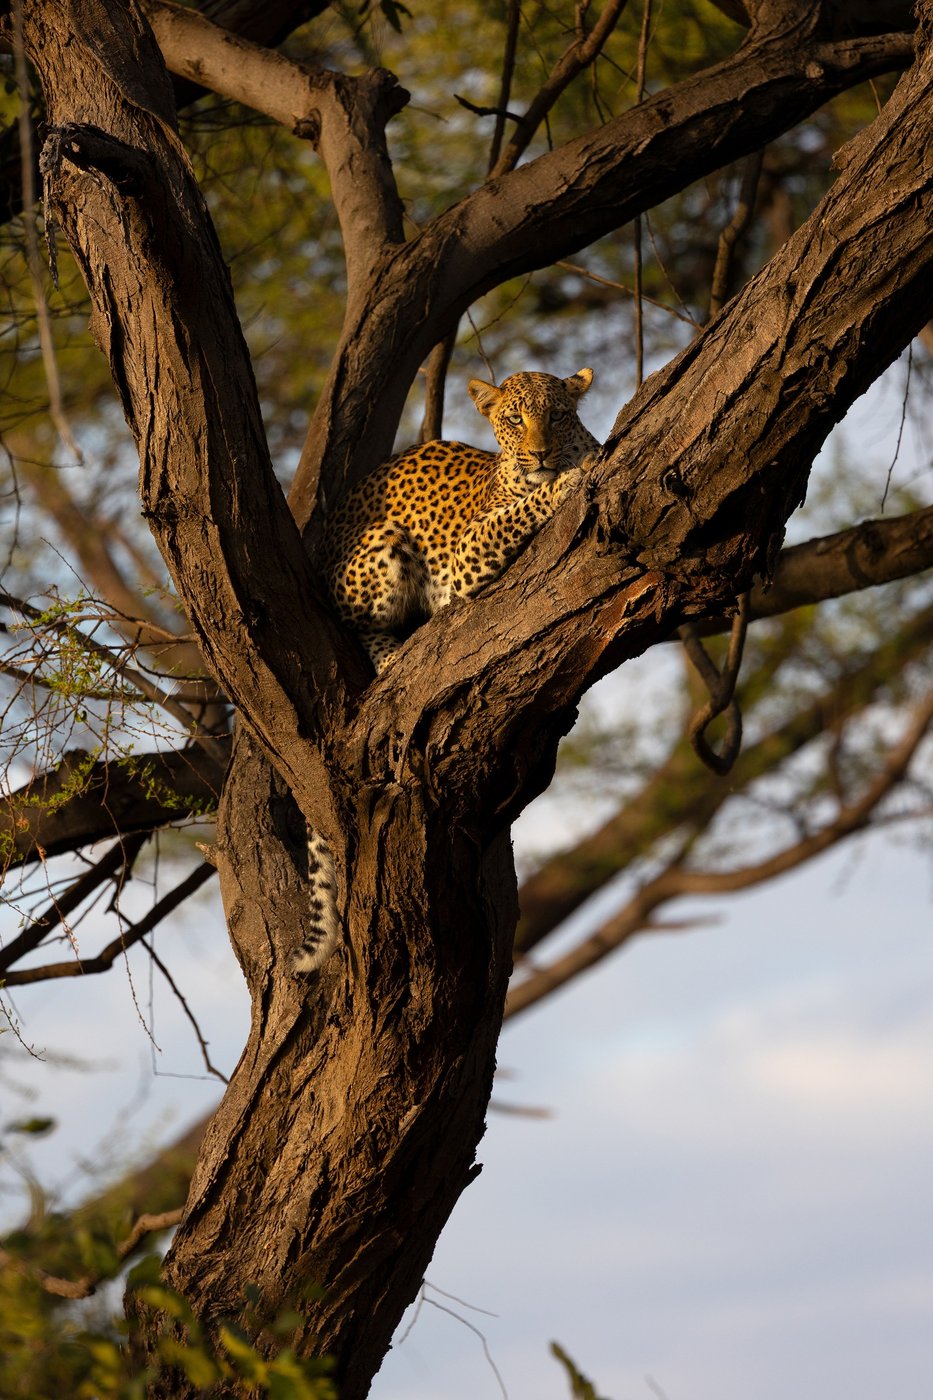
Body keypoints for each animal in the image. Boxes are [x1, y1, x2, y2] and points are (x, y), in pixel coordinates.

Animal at [294, 368, 599, 975]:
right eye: (514, 420)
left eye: (556, 415)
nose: (541, 453)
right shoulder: (466, 556)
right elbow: (518, 511)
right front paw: (568, 480)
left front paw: (575, 466)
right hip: (379, 544)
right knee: (356, 621)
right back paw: (391, 655)